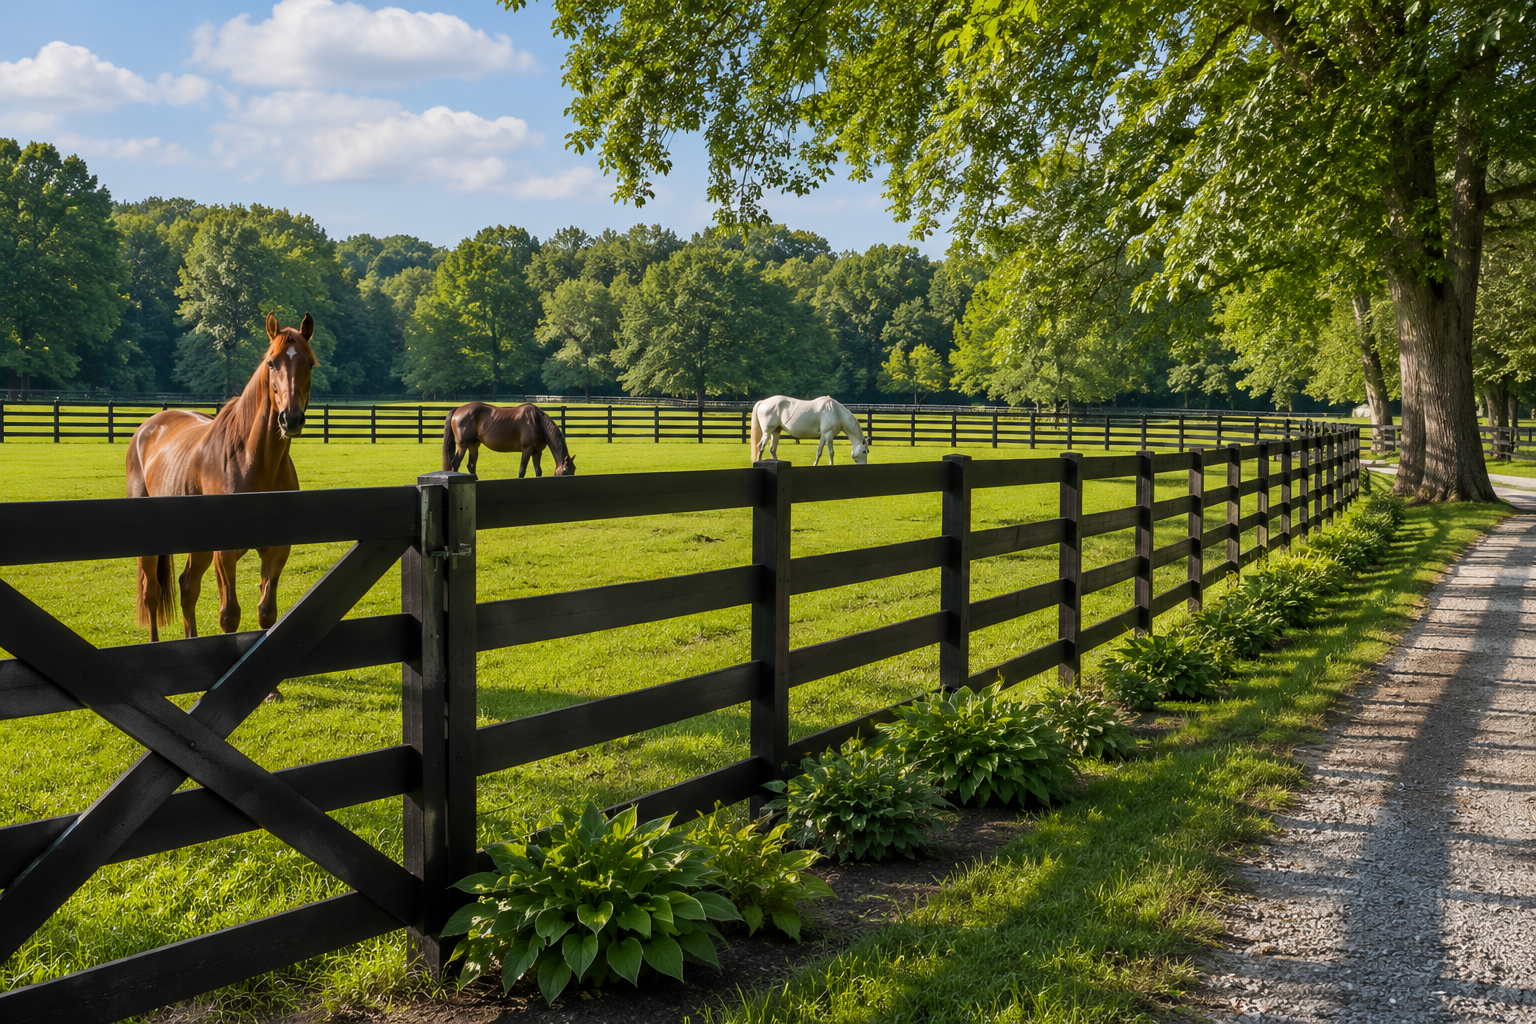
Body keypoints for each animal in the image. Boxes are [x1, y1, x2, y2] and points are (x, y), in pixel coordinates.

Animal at [126, 313, 317, 698]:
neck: (254, 461)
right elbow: (230, 615)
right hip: (155, 547)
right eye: (272, 362)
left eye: (309, 362)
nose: (290, 418)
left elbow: (266, 613)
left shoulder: (276, 551)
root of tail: (148, 427)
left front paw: (271, 690)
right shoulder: (225, 554)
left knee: (186, 587)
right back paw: (155, 647)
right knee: (152, 593)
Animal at [441, 402, 576, 478]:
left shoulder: (537, 452)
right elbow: (522, 471)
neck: (538, 422)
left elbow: (538, 471)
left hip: (473, 445)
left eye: (574, 469)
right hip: (463, 445)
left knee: (471, 465)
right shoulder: (527, 450)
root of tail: (458, 409)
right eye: (565, 472)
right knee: (455, 462)